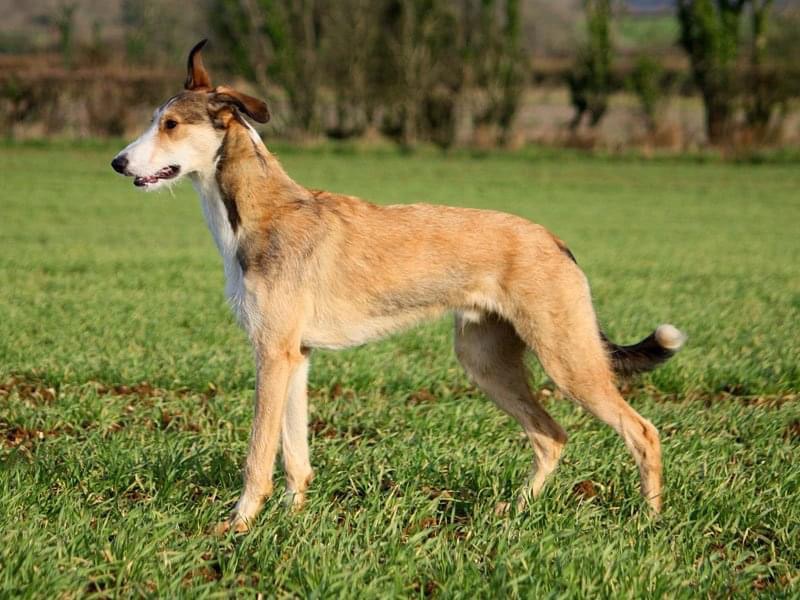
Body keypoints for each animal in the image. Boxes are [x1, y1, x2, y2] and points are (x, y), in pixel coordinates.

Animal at [112, 40, 685, 533]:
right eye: (155, 120)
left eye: (171, 124)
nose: (117, 163)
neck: (261, 212)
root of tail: (555, 241)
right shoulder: (294, 356)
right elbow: (296, 457)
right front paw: (293, 520)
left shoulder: (271, 354)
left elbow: (257, 456)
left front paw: (238, 526)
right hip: (486, 361)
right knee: (551, 436)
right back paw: (512, 513)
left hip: (568, 361)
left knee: (643, 432)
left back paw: (650, 522)